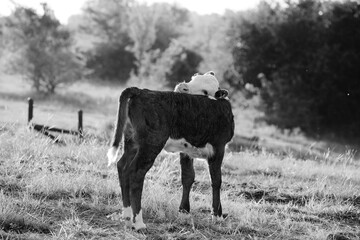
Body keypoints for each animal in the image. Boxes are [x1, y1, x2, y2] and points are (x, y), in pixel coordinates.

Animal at [107, 87, 235, 229]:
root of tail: (141, 91)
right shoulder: (219, 147)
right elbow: (216, 180)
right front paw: (217, 215)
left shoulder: (186, 151)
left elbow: (188, 177)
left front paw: (184, 212)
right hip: (152, 143)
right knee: (136, 172)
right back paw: (139, 223)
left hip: (132, 141)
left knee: (122, 166)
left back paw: (127, 216)